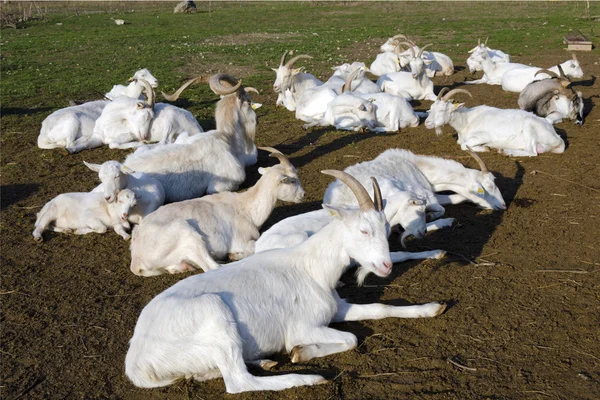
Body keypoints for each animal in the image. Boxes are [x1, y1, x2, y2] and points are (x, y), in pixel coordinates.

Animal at [127, 148, 304, 276]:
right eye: (292, 180)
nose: (303, 194)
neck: (246, 209)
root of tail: (137, 257)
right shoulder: (241, 240)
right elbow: (253, 247)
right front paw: (235, 255)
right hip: (186, 234)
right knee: (212, 267)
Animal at [424, 88, 564, 157]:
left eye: (442, 110)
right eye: (431, 108)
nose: (427, 123)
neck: (467, 120)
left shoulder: (483, 136)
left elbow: (464, 145)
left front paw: (485, 148)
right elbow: (461, 143)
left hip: (529, 125)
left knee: (533, 153)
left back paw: (506, 152)